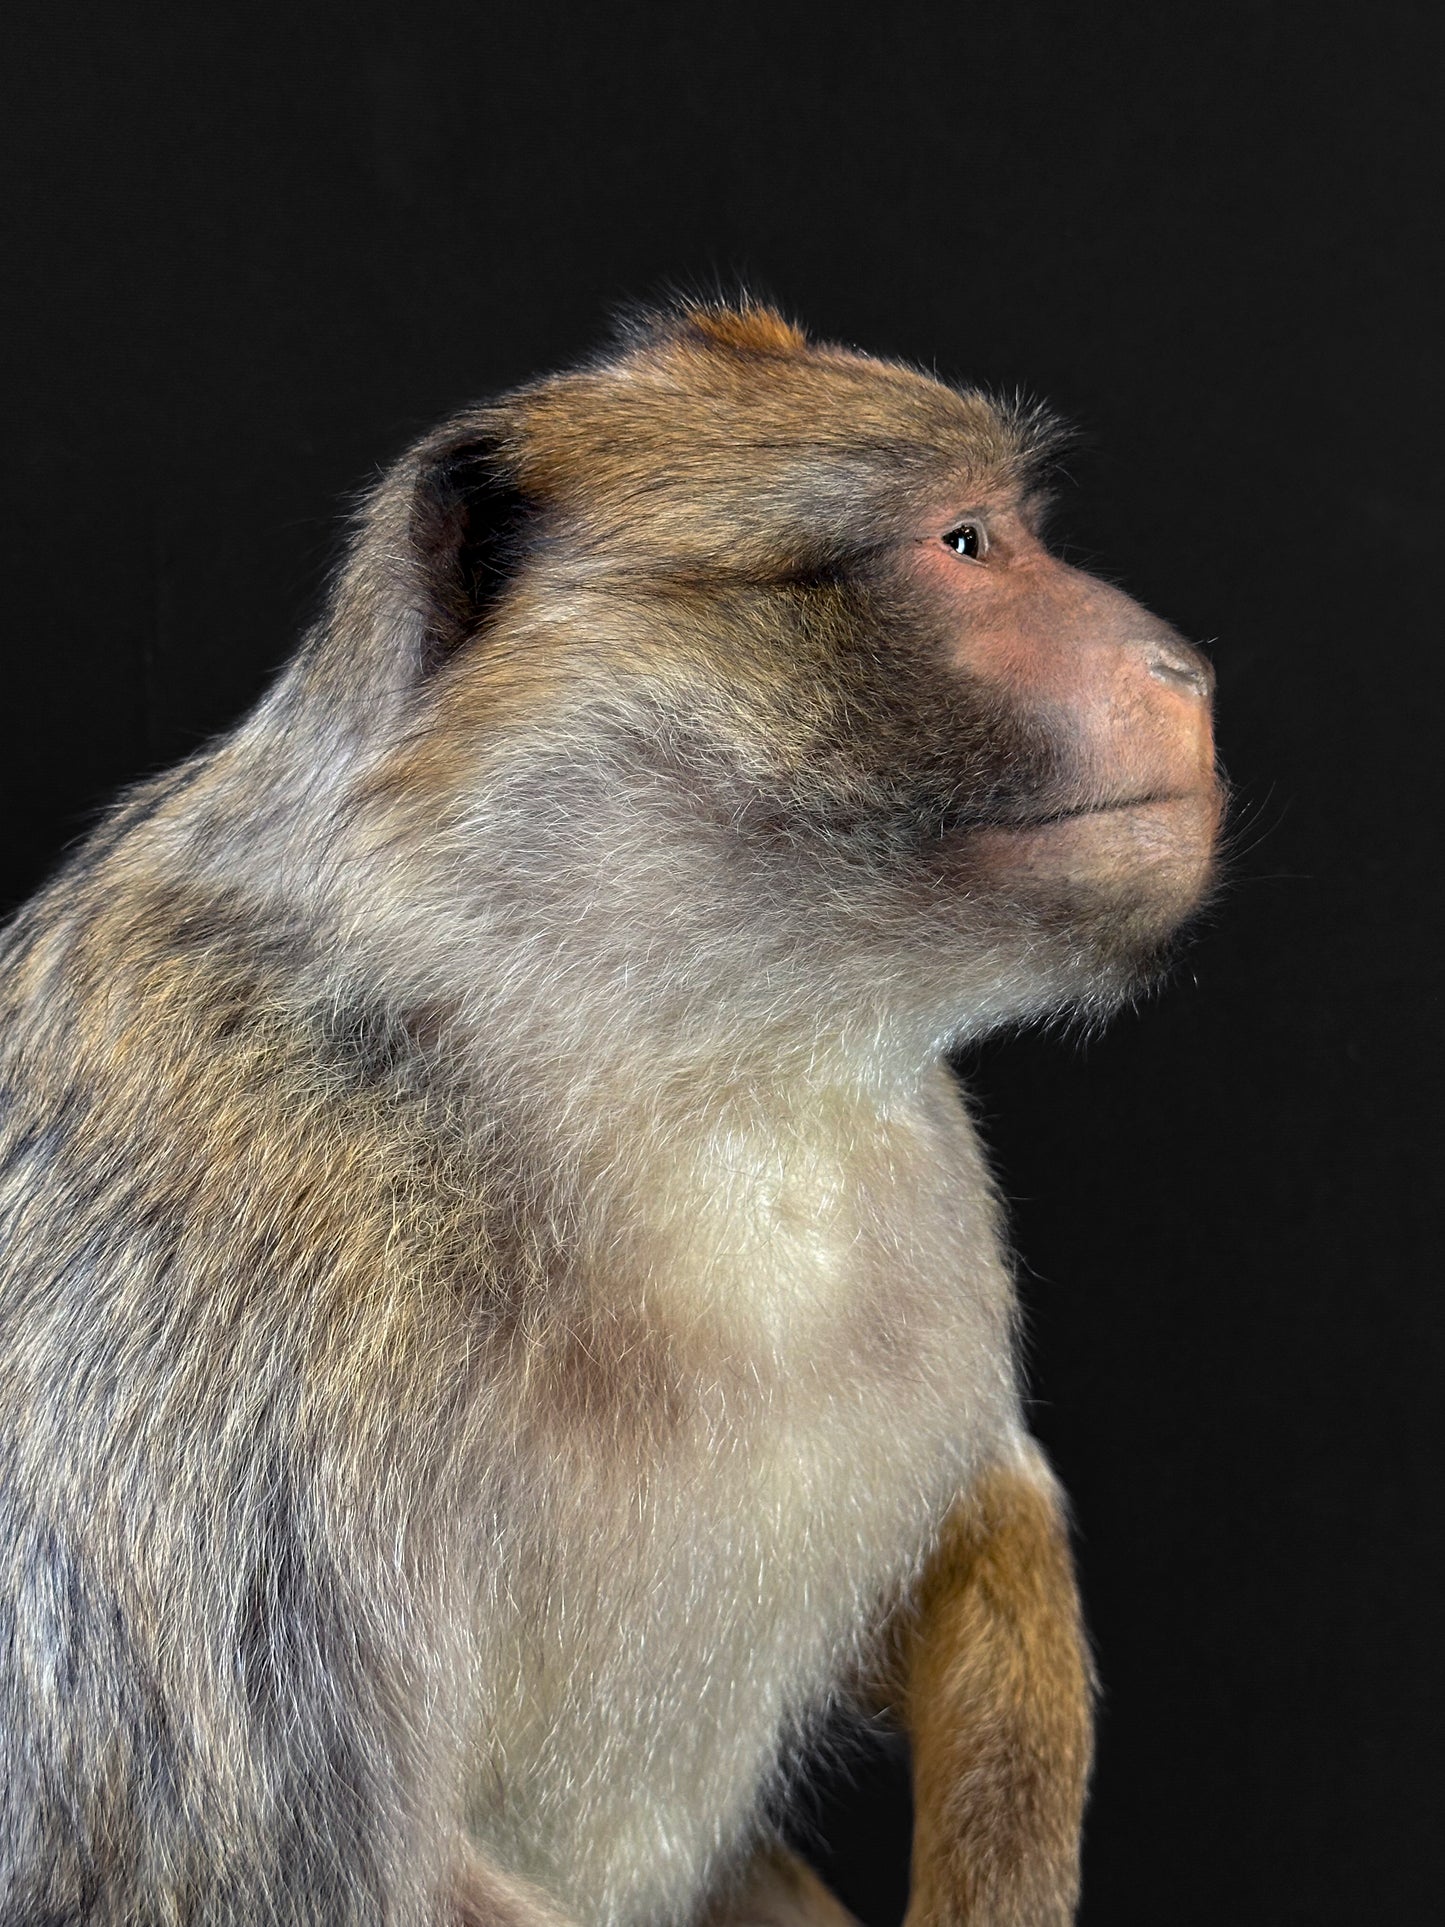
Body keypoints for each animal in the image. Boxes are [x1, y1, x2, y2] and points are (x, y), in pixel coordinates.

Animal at [0, 301, 1220, 1927]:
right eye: (963, 544)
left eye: (1009, 528)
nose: (1182, 668)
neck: (651, 1052)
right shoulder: (240, 1320)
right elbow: (265, 1858)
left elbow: (976, 1517)